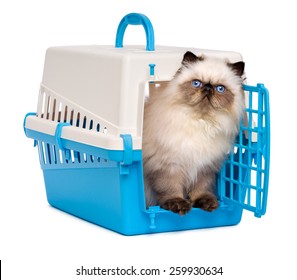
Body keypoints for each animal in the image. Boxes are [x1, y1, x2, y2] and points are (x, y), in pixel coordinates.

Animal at [142, 51, 244, 215]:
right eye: (197, 83)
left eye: (220, 88)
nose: (208, 88)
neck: (200, 123)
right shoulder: (168, 166)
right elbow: (170, 188)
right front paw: (179, 204)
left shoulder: (205, 168)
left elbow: (200, 189)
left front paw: (207, 203)